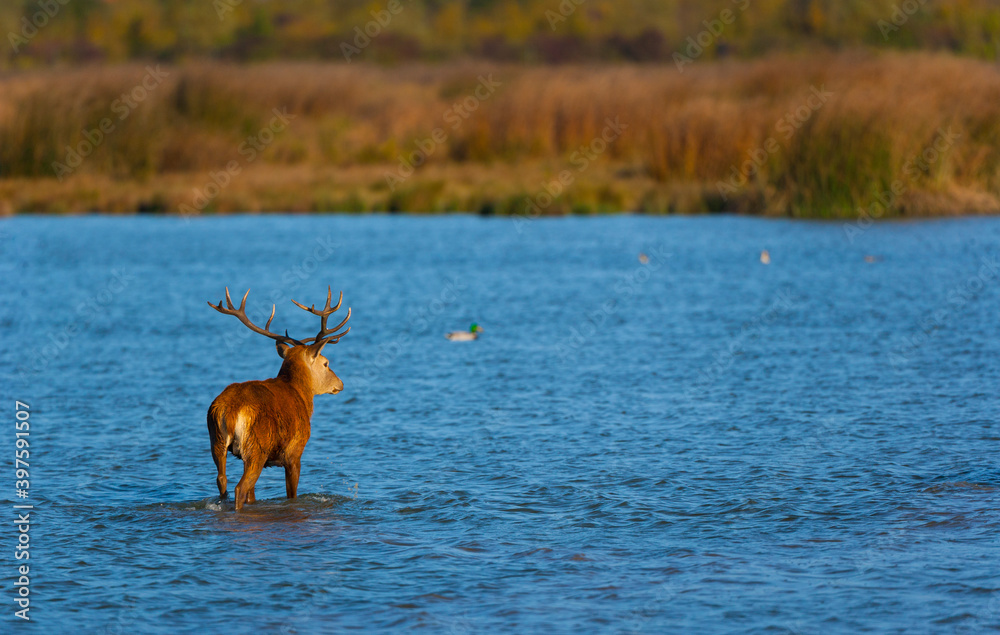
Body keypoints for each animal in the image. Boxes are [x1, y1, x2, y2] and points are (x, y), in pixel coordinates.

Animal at [206, 286, 350, 511]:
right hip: (256, 447)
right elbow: (292, 495)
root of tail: (229, 410)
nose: (340, 383)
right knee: (240, 487)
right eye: (326, 363)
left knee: (222, 480)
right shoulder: (295, 451)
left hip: (217, 441)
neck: (301, 394)